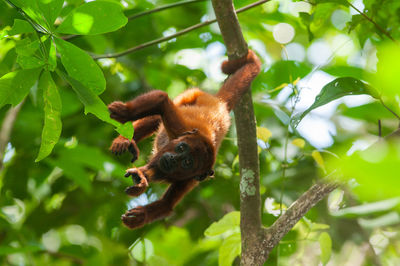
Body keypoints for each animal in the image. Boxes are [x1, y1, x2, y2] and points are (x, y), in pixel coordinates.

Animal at [108, 50, 260, 229]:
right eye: (181, 148)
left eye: (187, 162)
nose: (173, 159)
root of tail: (220, 104)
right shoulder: (181, 130)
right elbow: (161, 99)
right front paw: (124, 112)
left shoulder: (191, 180)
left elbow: (166, 205)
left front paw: (140, 215)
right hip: (192, 95)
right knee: (157, 114)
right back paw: (125, 139)